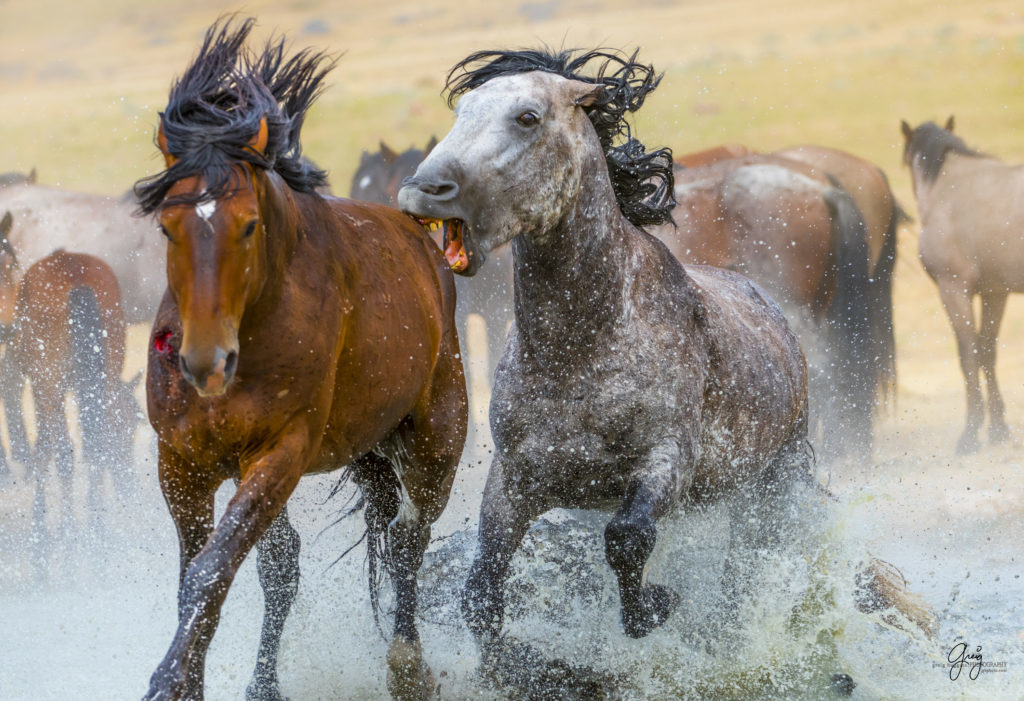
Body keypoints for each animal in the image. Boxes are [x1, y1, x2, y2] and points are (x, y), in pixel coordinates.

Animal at [136, 17, 468, 699]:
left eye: (248, 225)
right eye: (165, 227)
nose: (205, 363)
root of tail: (426, 245)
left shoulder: (282, 451)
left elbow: (211, 571)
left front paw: (169, 679)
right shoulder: (182, 461)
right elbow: (203, 574)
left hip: (433, 442)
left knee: (407, 541)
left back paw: (407, 664)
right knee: (287, 563)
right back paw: (265, 683)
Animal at [901, 114, 1019, 454]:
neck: (948, 188)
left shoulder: (953, 289)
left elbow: (968, 355)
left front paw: (970, 433)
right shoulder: (995, 292)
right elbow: (987, 351)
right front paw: (997, 428)